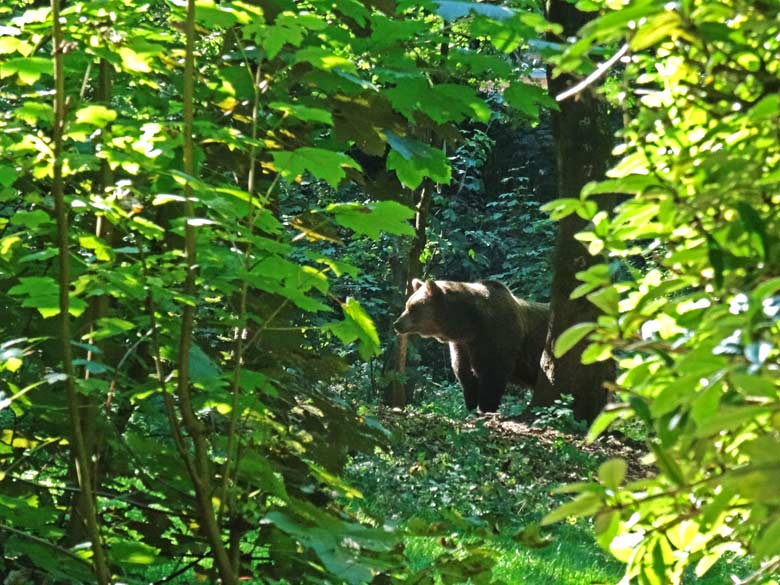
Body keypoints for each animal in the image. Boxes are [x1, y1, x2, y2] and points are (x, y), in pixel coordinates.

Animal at [394, 278, 552, 410]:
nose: (397, 324)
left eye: (413, 307)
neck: (470, 326)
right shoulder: (462, 345)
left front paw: (486, 407)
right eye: (408, 305)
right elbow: (464, 373)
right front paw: (471, 406)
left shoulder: (496, 338)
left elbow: (493, 375)